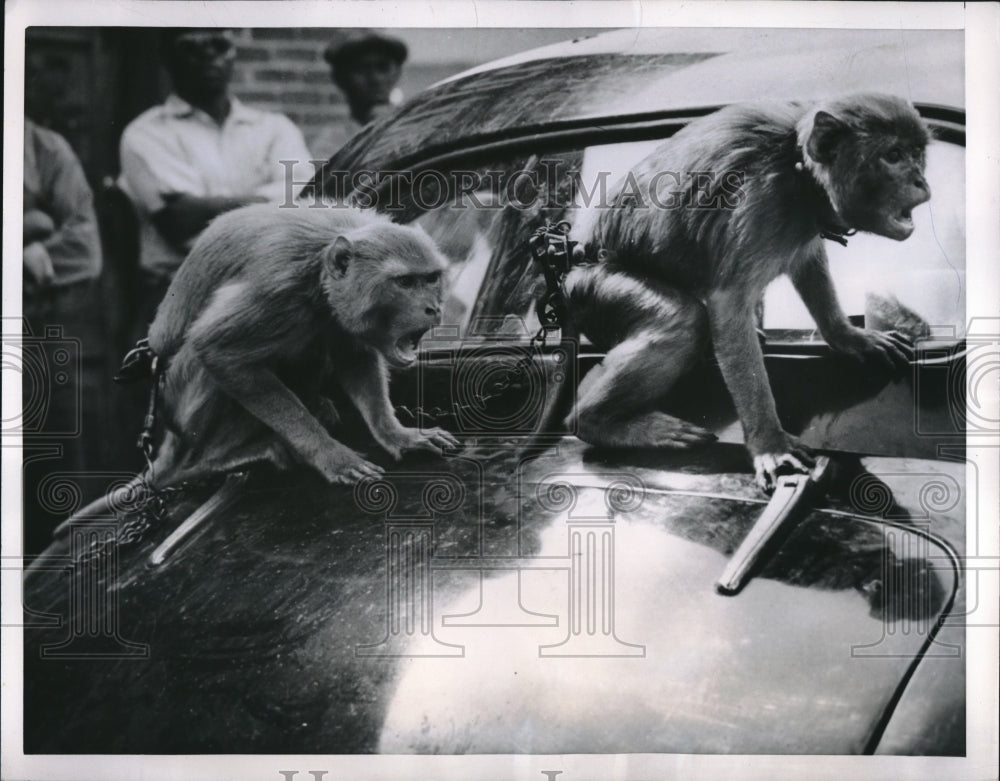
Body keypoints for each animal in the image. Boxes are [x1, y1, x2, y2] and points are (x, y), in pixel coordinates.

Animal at [143, 201, 458, 484]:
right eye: (404, 282)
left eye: (431, 278)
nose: (433, 308)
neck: (319, 270)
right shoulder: (277, 291)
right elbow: (215, 350)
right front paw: (330, 455)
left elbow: (352, 354)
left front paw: (396, 434)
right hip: (182, 408)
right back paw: (208, 463)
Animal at [568, 93, 932, 488]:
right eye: (893, 156)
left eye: (916, 152)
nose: (921, 181)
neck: (797, 170)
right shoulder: (760, 203)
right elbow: (728, 306)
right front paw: (769, 443)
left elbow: (807, 261)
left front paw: (849, 336)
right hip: (591, 287)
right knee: (683, 321)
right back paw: (596, 421)